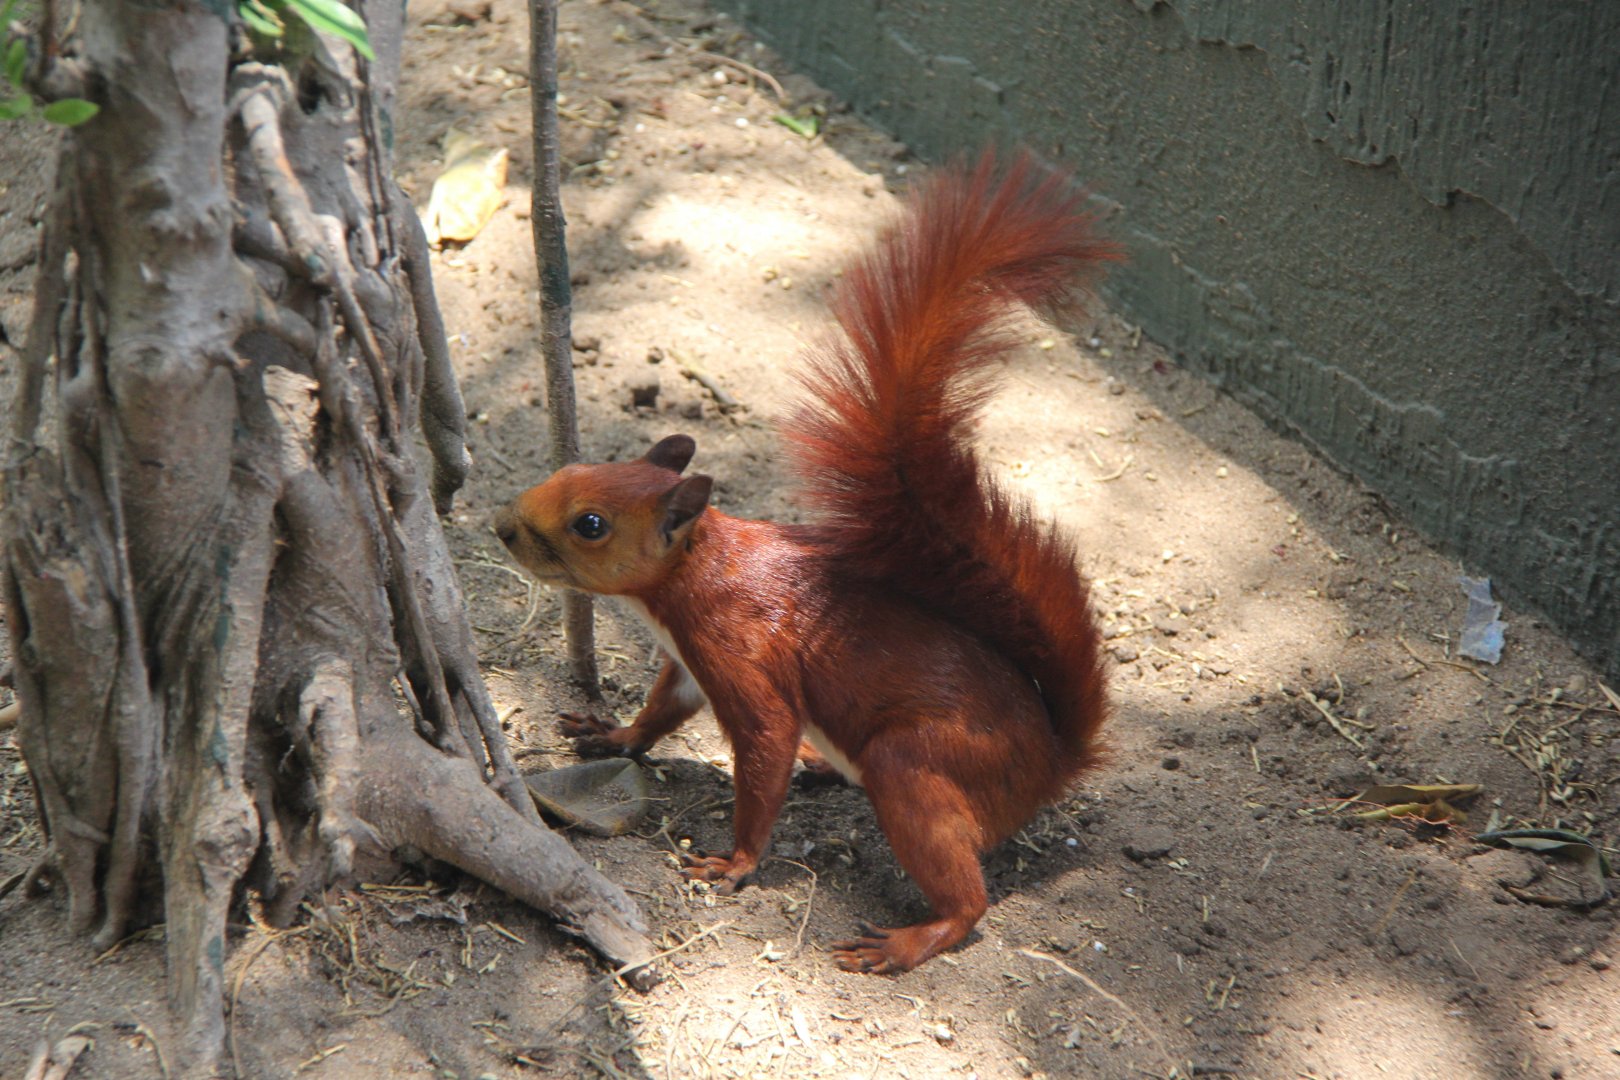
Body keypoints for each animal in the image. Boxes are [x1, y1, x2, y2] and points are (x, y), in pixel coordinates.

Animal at [495, 151, 1118, 973]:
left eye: (590, 524)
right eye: (576, 466)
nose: (501, 526)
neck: (688, 579)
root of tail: (1052, 759)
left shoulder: (740, 655)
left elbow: (764, 749)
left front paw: (735, 862)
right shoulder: (688, 663)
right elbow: (663, 711)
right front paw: (614, 736)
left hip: (914, 766)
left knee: (967, 896)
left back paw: (911, 939)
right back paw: (824, 770)